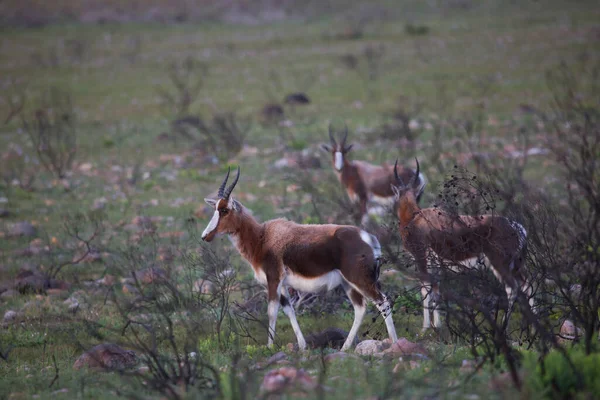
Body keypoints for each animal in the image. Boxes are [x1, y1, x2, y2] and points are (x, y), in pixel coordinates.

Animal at [202, 166, 398, 350]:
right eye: (215, 209)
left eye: (224, 210)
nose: (205, 236)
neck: (263, 237)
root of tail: (368, 237)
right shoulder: (283, 285)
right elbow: (289, 311)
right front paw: (303, 346)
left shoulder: (273, 280)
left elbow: (271, 311)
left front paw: (269, 347)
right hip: (348, 283)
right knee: (360, 308)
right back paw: (345, 347)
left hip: (359, 279)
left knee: (382, 301)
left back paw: (395, 342)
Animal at [392, 158, 532, 330]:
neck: (416, 218)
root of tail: (515, 227)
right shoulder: (435, 264)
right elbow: (436, 290)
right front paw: (437, 325)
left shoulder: (421, 258)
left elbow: (426, 289)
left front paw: (426, 328)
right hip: (515, 264)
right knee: (527, 285)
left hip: (500, 263)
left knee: (512, 288)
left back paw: (504, 327)